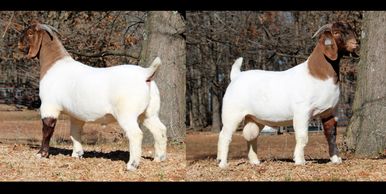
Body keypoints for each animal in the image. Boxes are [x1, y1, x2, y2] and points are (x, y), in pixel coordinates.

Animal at [18, 22, 167, 171]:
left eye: (30, 33)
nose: (19, 44)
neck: (55, 65)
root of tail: (145, 74)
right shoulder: (76, 115)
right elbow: (75, 132)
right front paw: (77, 154)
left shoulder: (49, 106)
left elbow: (47, 130)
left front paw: (41, 154)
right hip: (149, 113)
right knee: (160, 130)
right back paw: (159, 159)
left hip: (126, 113)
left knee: (136, 134)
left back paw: (132, 165)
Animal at [217, 21, 358, 168]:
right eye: (336, 32)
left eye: (351, 30)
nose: (355, 43)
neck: (320, 75)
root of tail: (236, 76)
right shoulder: (302, 112)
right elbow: (303, 137)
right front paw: (300, 160)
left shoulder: (330, 112)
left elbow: (331, 135)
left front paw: (336, 159)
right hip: (232, 114)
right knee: (225, 136)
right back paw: (222, 163)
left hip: (253, 118)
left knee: (251, 137)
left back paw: (255, 162)